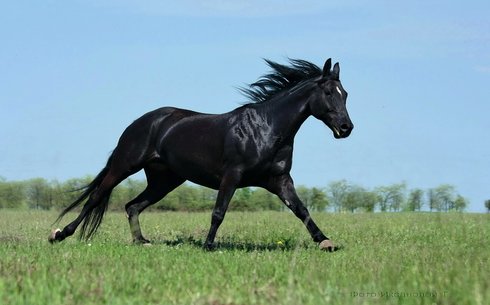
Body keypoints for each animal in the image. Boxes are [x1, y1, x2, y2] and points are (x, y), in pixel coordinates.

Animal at [48, 57, 352, 249]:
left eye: (345, 94)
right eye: (328, 92)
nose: (346, 128)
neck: (266, 128)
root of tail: (142, 122)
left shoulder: (280, 180)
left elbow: (301, 210)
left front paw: (325, 242)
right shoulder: (232, 176)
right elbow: (219, 212)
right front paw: (208, 245)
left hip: (165, 180)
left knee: (132, 206)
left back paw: (141, 242)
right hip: (125, 165)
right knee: (95, 198)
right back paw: (59, 235)